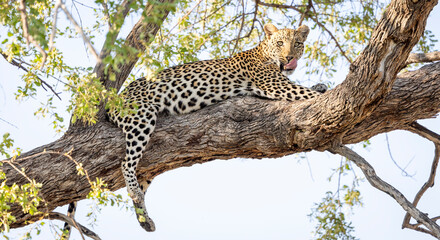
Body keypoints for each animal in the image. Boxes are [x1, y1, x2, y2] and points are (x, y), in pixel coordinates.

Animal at [107, 23, 326, 232]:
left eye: (297, 44)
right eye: (280, 43)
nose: (289, 57)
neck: (265, 52)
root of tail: (116, 98)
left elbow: (312, 91)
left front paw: (321, 86)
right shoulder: (277, 86)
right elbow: (310, 94)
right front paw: (326, 90)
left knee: (142, 175)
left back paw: (145, 220)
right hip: (141, 116)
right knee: (127, 163)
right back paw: (135, 192)